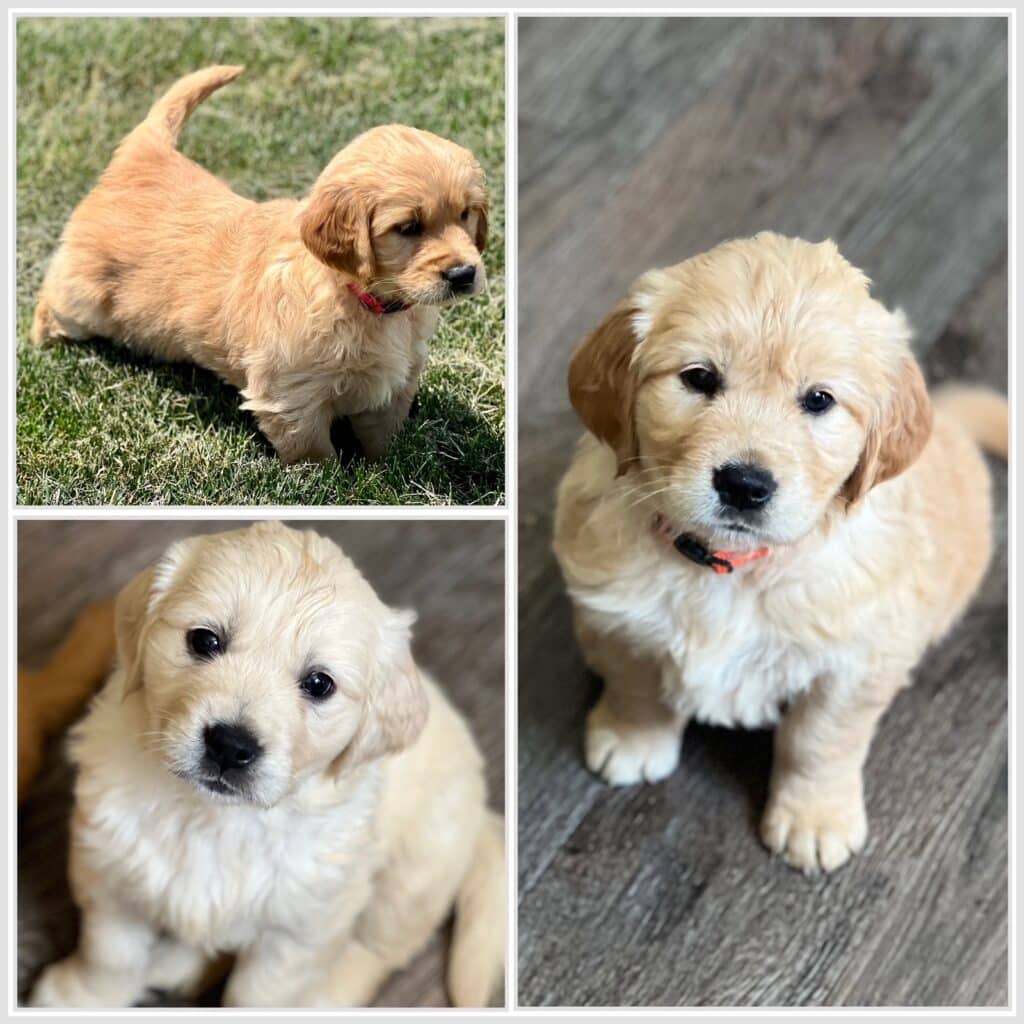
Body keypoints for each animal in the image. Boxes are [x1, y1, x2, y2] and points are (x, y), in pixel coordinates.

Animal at [29, 66, 489, 462]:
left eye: (466, 213)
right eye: (408, 227)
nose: (464, 273)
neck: (361, 298)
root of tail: (147, 155)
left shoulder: (396, 382)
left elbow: (383, 438)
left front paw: (385, 467)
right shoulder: (291, 395)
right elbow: (313, 454)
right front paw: (332, 484)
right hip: (85, 297)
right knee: (52, 302)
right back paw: (43, 343)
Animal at [552, 232, 1007, 872]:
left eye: (819, 400)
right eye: (699, 378)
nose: (744, 484)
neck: (729, 569)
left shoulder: (857, 663)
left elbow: (821, 742)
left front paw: (816, 817)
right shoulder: (613, 615)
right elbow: (635, 682)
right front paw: (631, 739)